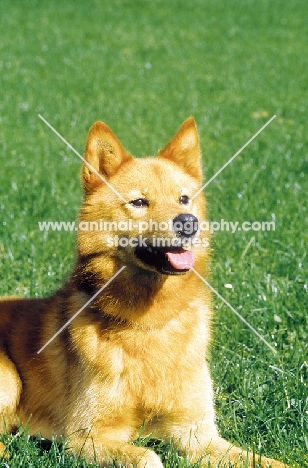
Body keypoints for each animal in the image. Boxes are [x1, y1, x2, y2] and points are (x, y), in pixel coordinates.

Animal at [0, 117, 288, 464]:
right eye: (139, 202)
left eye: (184, 199)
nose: (188, 222)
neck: (149, 323)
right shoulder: (85, 438)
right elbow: (149, 456)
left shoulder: (198, 435)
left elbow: (267, 461)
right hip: (9, 381)